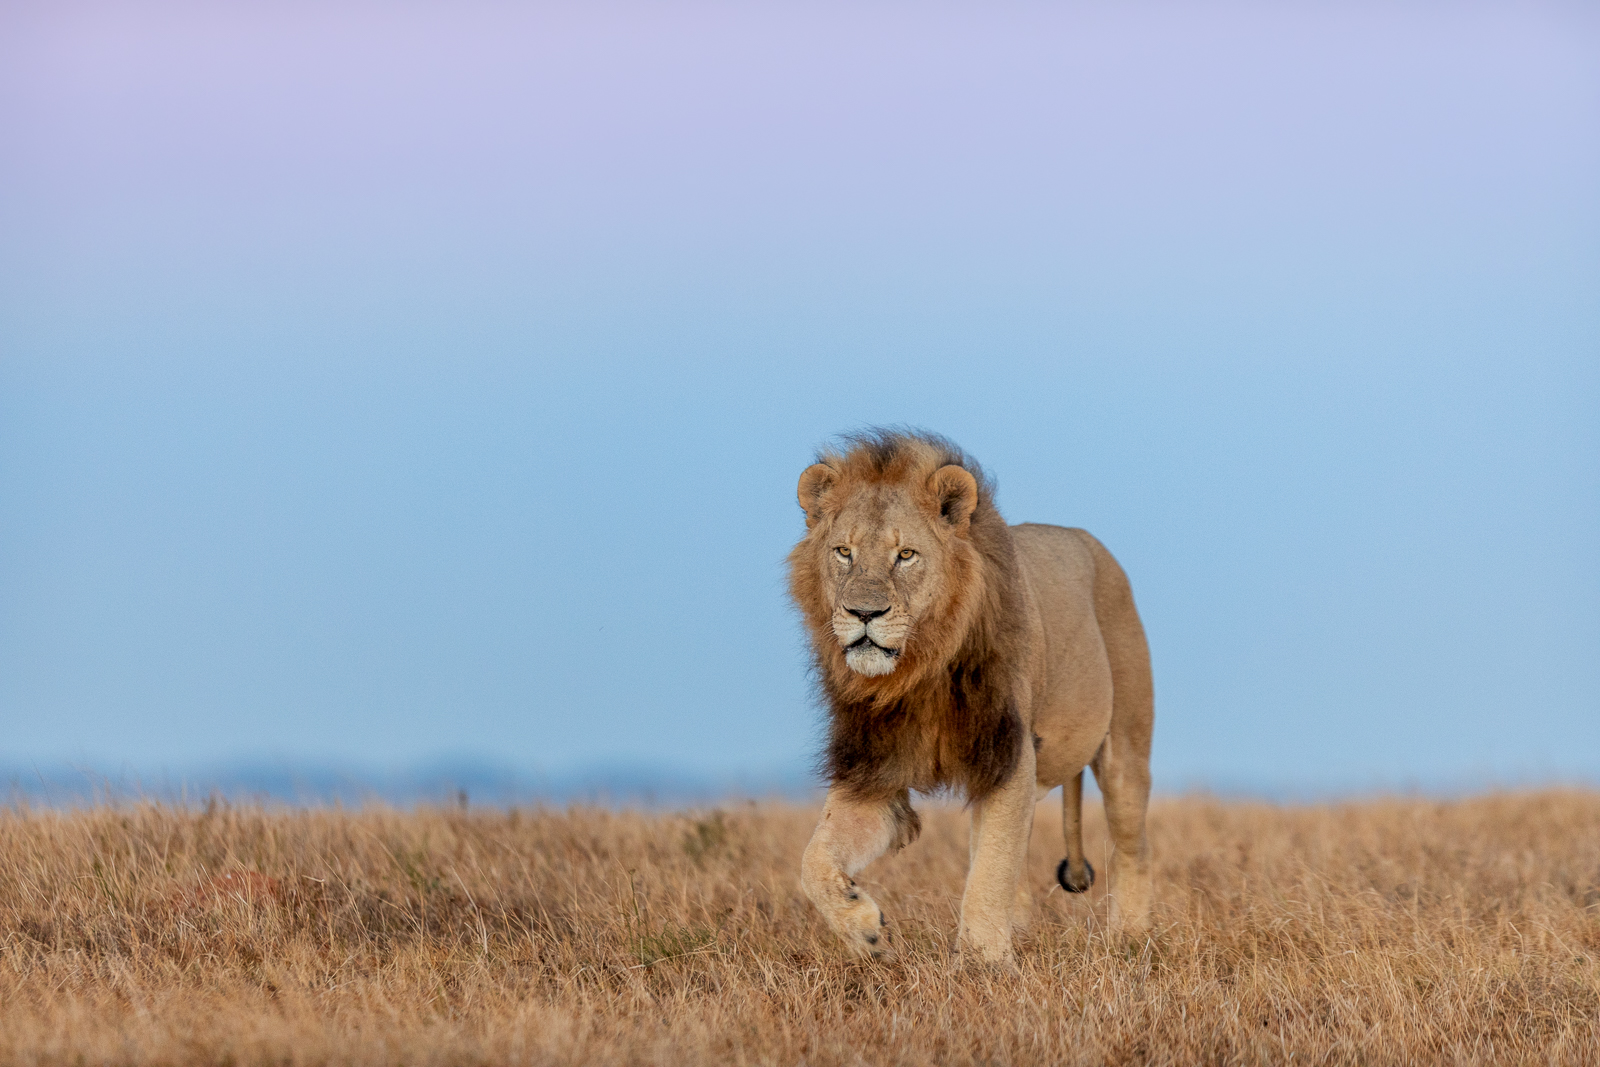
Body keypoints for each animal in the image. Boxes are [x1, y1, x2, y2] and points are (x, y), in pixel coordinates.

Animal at [787, 428, 1152, 966]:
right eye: (843, 552)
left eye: (906, 555)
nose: (863, 613)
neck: (918, 669)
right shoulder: (874, 771)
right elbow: (813, 860)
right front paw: (864, 928)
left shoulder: (1007, 755)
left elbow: (991, 870)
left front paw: (983, 961)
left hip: (1124, 747)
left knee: (1131, 847)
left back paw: (1130, 938)